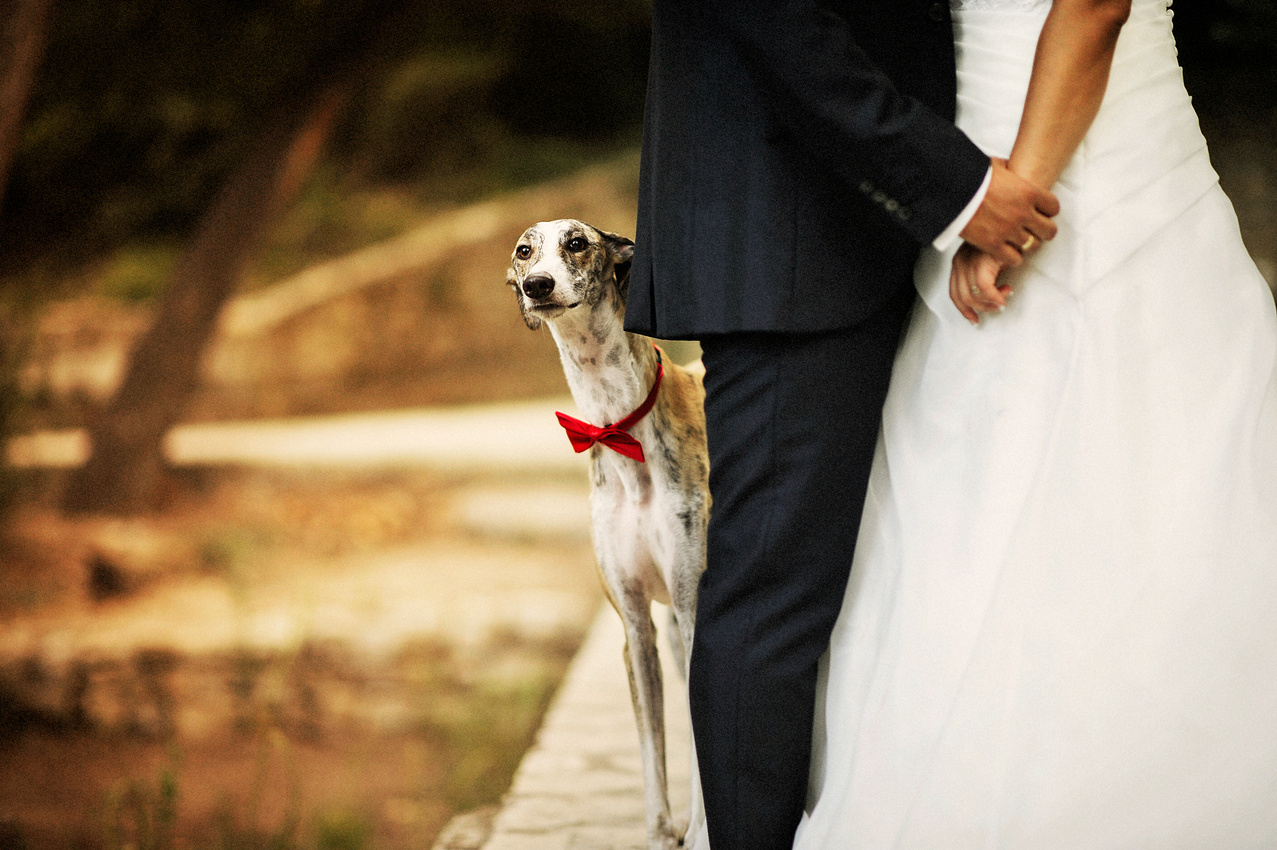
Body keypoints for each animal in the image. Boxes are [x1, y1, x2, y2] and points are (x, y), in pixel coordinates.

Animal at [505, 219, 710, 847]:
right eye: (524, 252)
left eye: (577, 242)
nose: (538, 285)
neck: (618, 426)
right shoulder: (636, 628)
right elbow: (652, 749)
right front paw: (664, 832)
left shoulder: (695, 609)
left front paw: (701, 830)